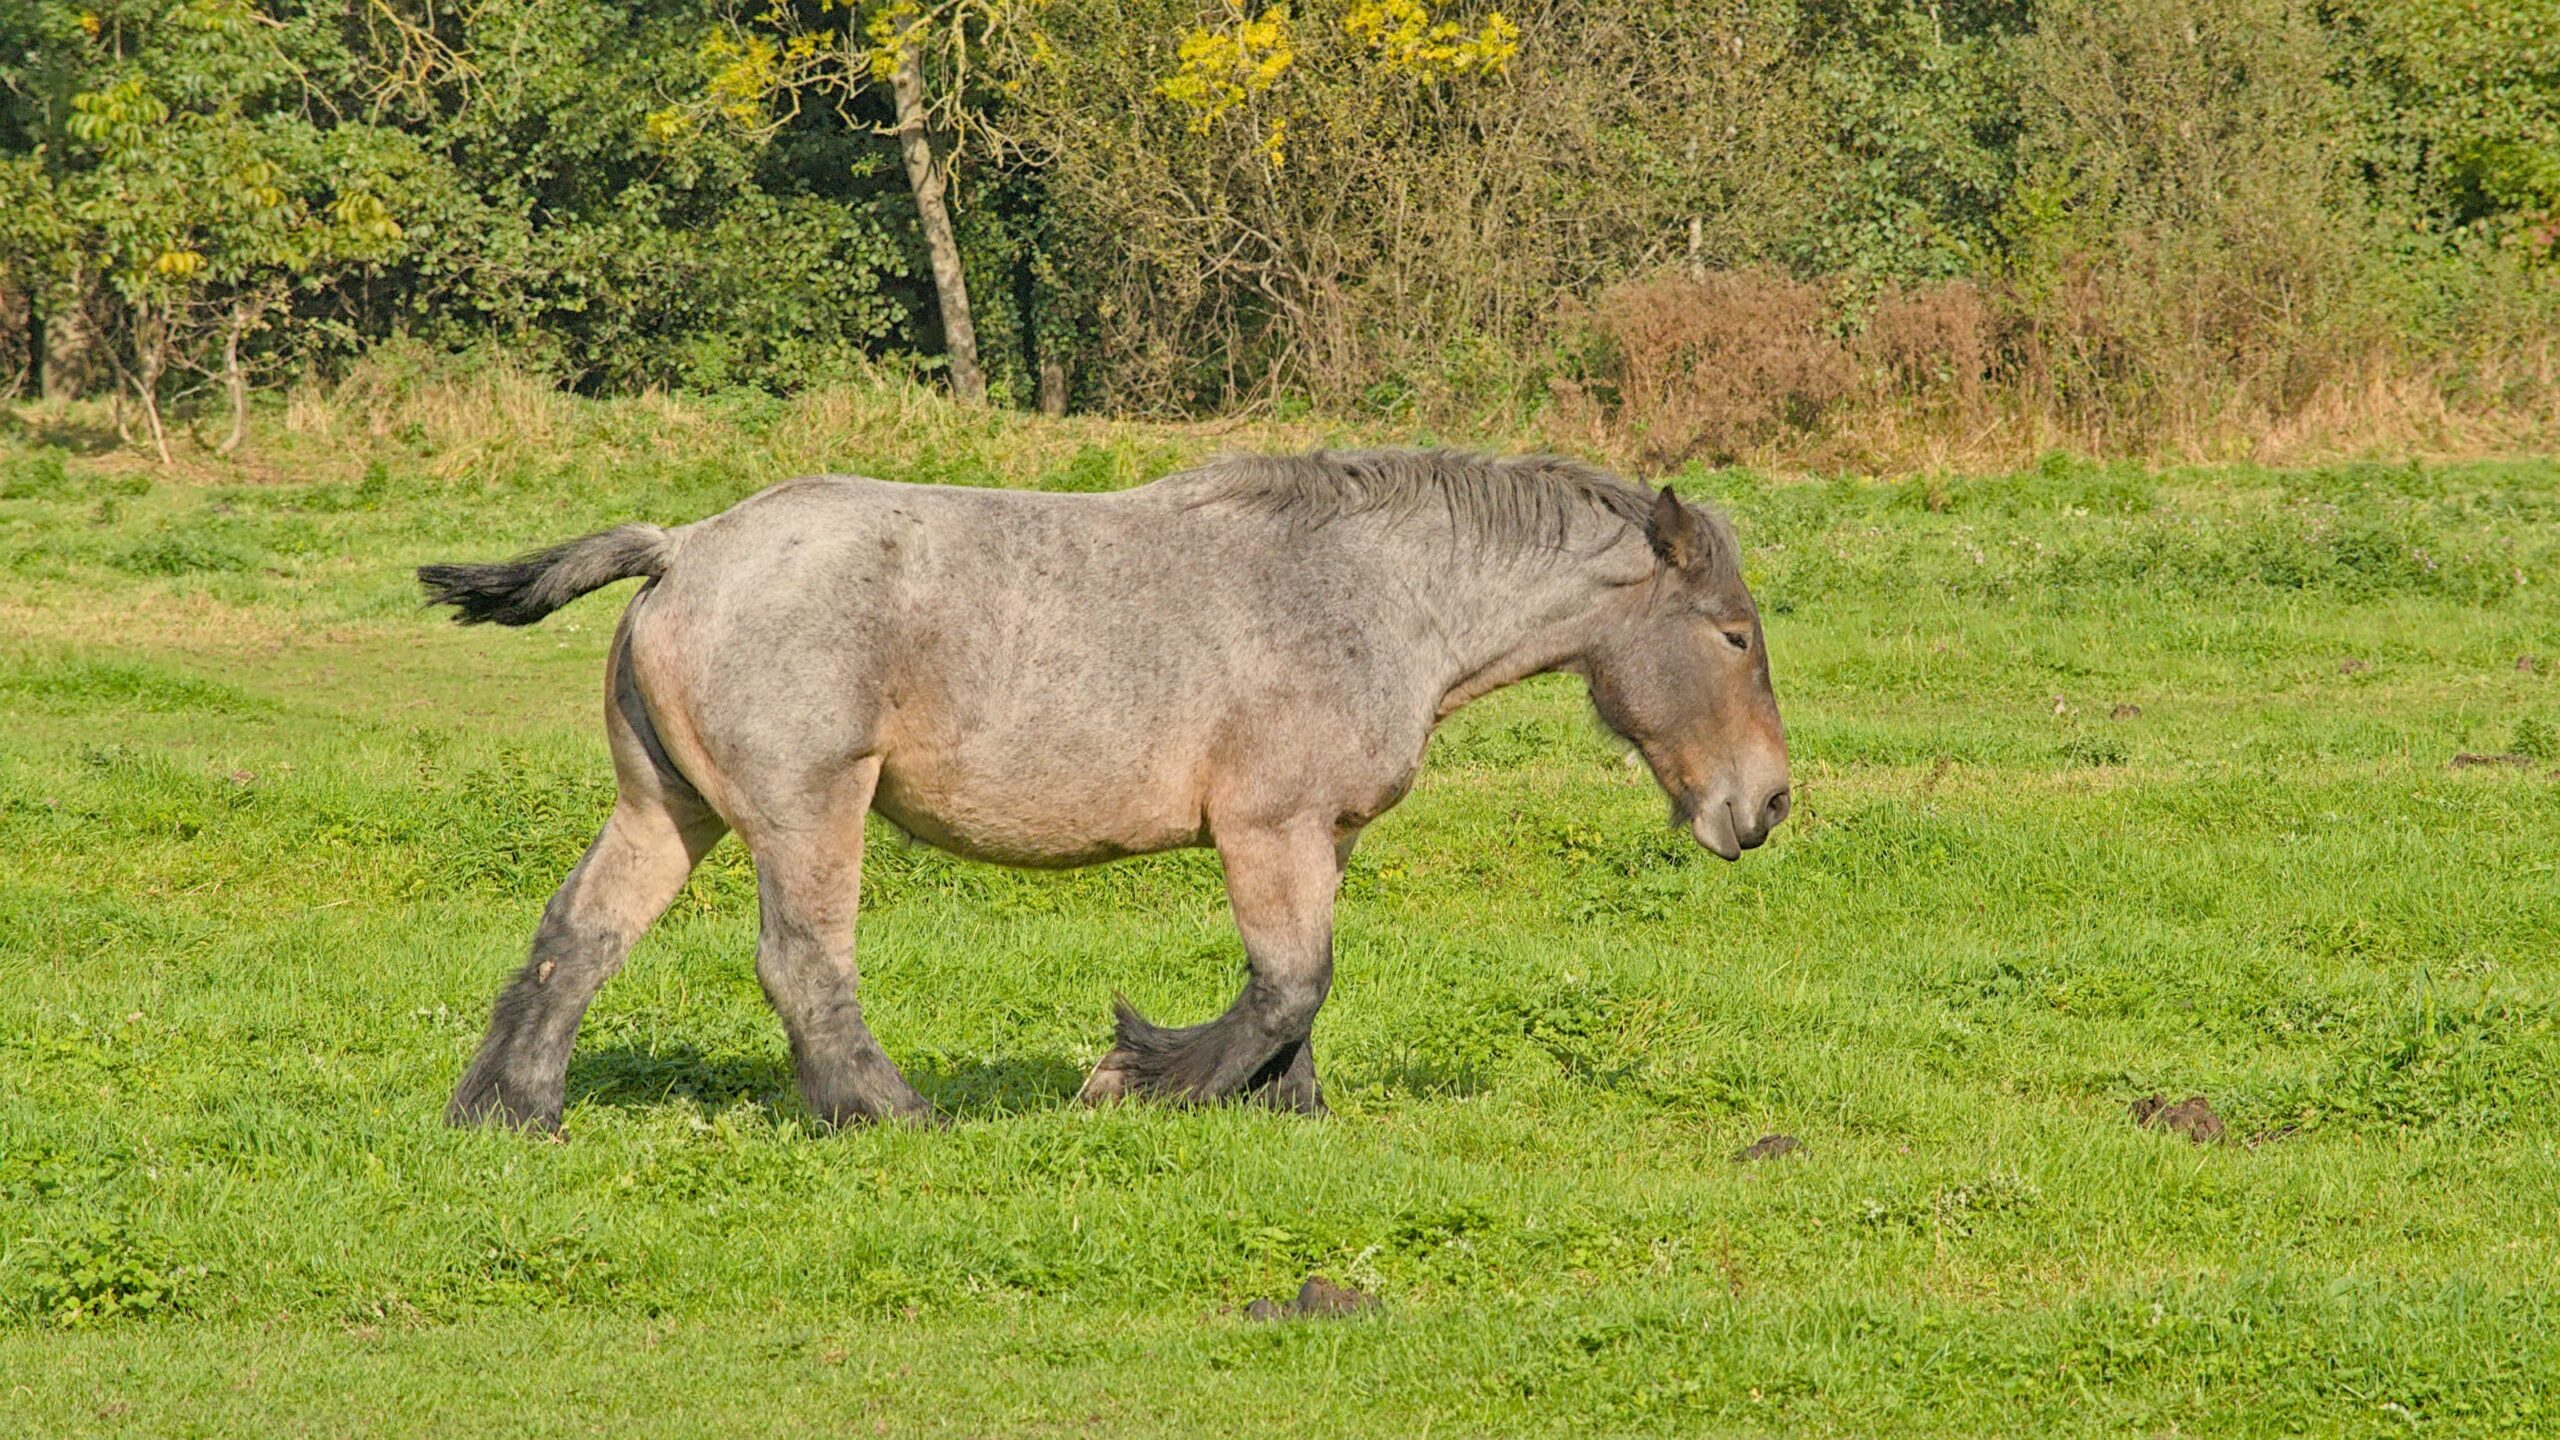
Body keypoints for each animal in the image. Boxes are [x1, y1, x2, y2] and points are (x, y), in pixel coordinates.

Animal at [419, 445, 1792, 1122]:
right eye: (1733, 634)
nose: (1769, 805)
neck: (1373, 593)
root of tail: (685, 547)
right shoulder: (1267, 827)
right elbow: (1288, 984)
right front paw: (1141, 1079)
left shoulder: (1320, 835)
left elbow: (1297, 992)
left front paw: (1283, 1110)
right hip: (808, 812)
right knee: (803, 966)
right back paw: (885, 1112)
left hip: (672, 813)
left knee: (576, 939)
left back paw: (510, 1112)